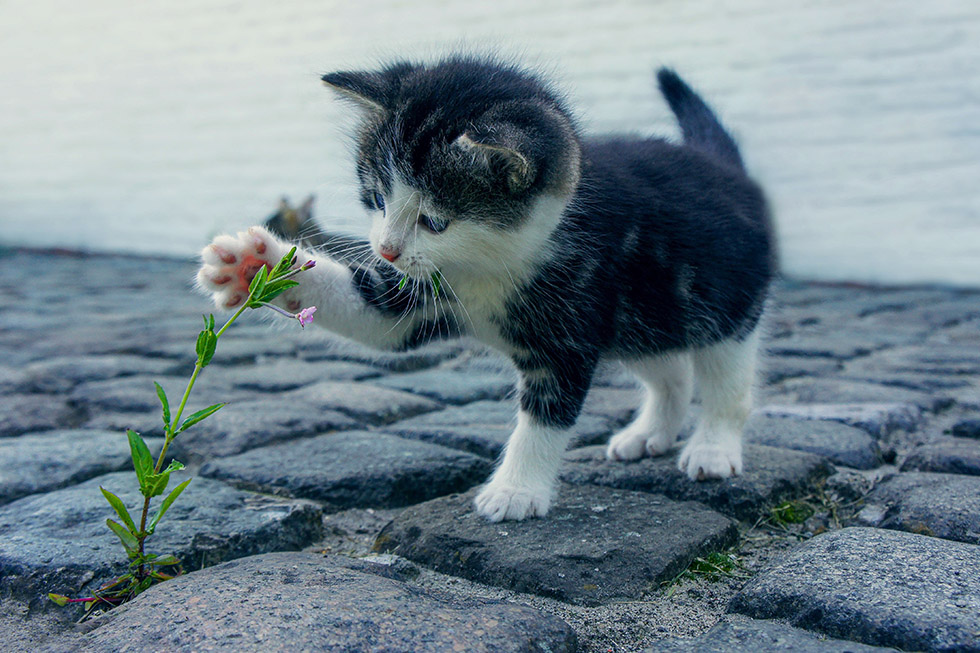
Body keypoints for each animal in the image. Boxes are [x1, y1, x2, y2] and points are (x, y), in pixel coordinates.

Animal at [199, 58, 776, 524]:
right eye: (377, 198)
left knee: (726, 380)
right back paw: (649, 432)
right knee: (670, 370)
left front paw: (516, 491)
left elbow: (545, 415)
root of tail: (725, 168)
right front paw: (255, 266)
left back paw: (713, 448)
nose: (385, 250)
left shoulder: (570, 328)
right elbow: (373, 315)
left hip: (724, 305)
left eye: (434, 221)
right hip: (643, 316)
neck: (488, 265)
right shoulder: (421, 294)